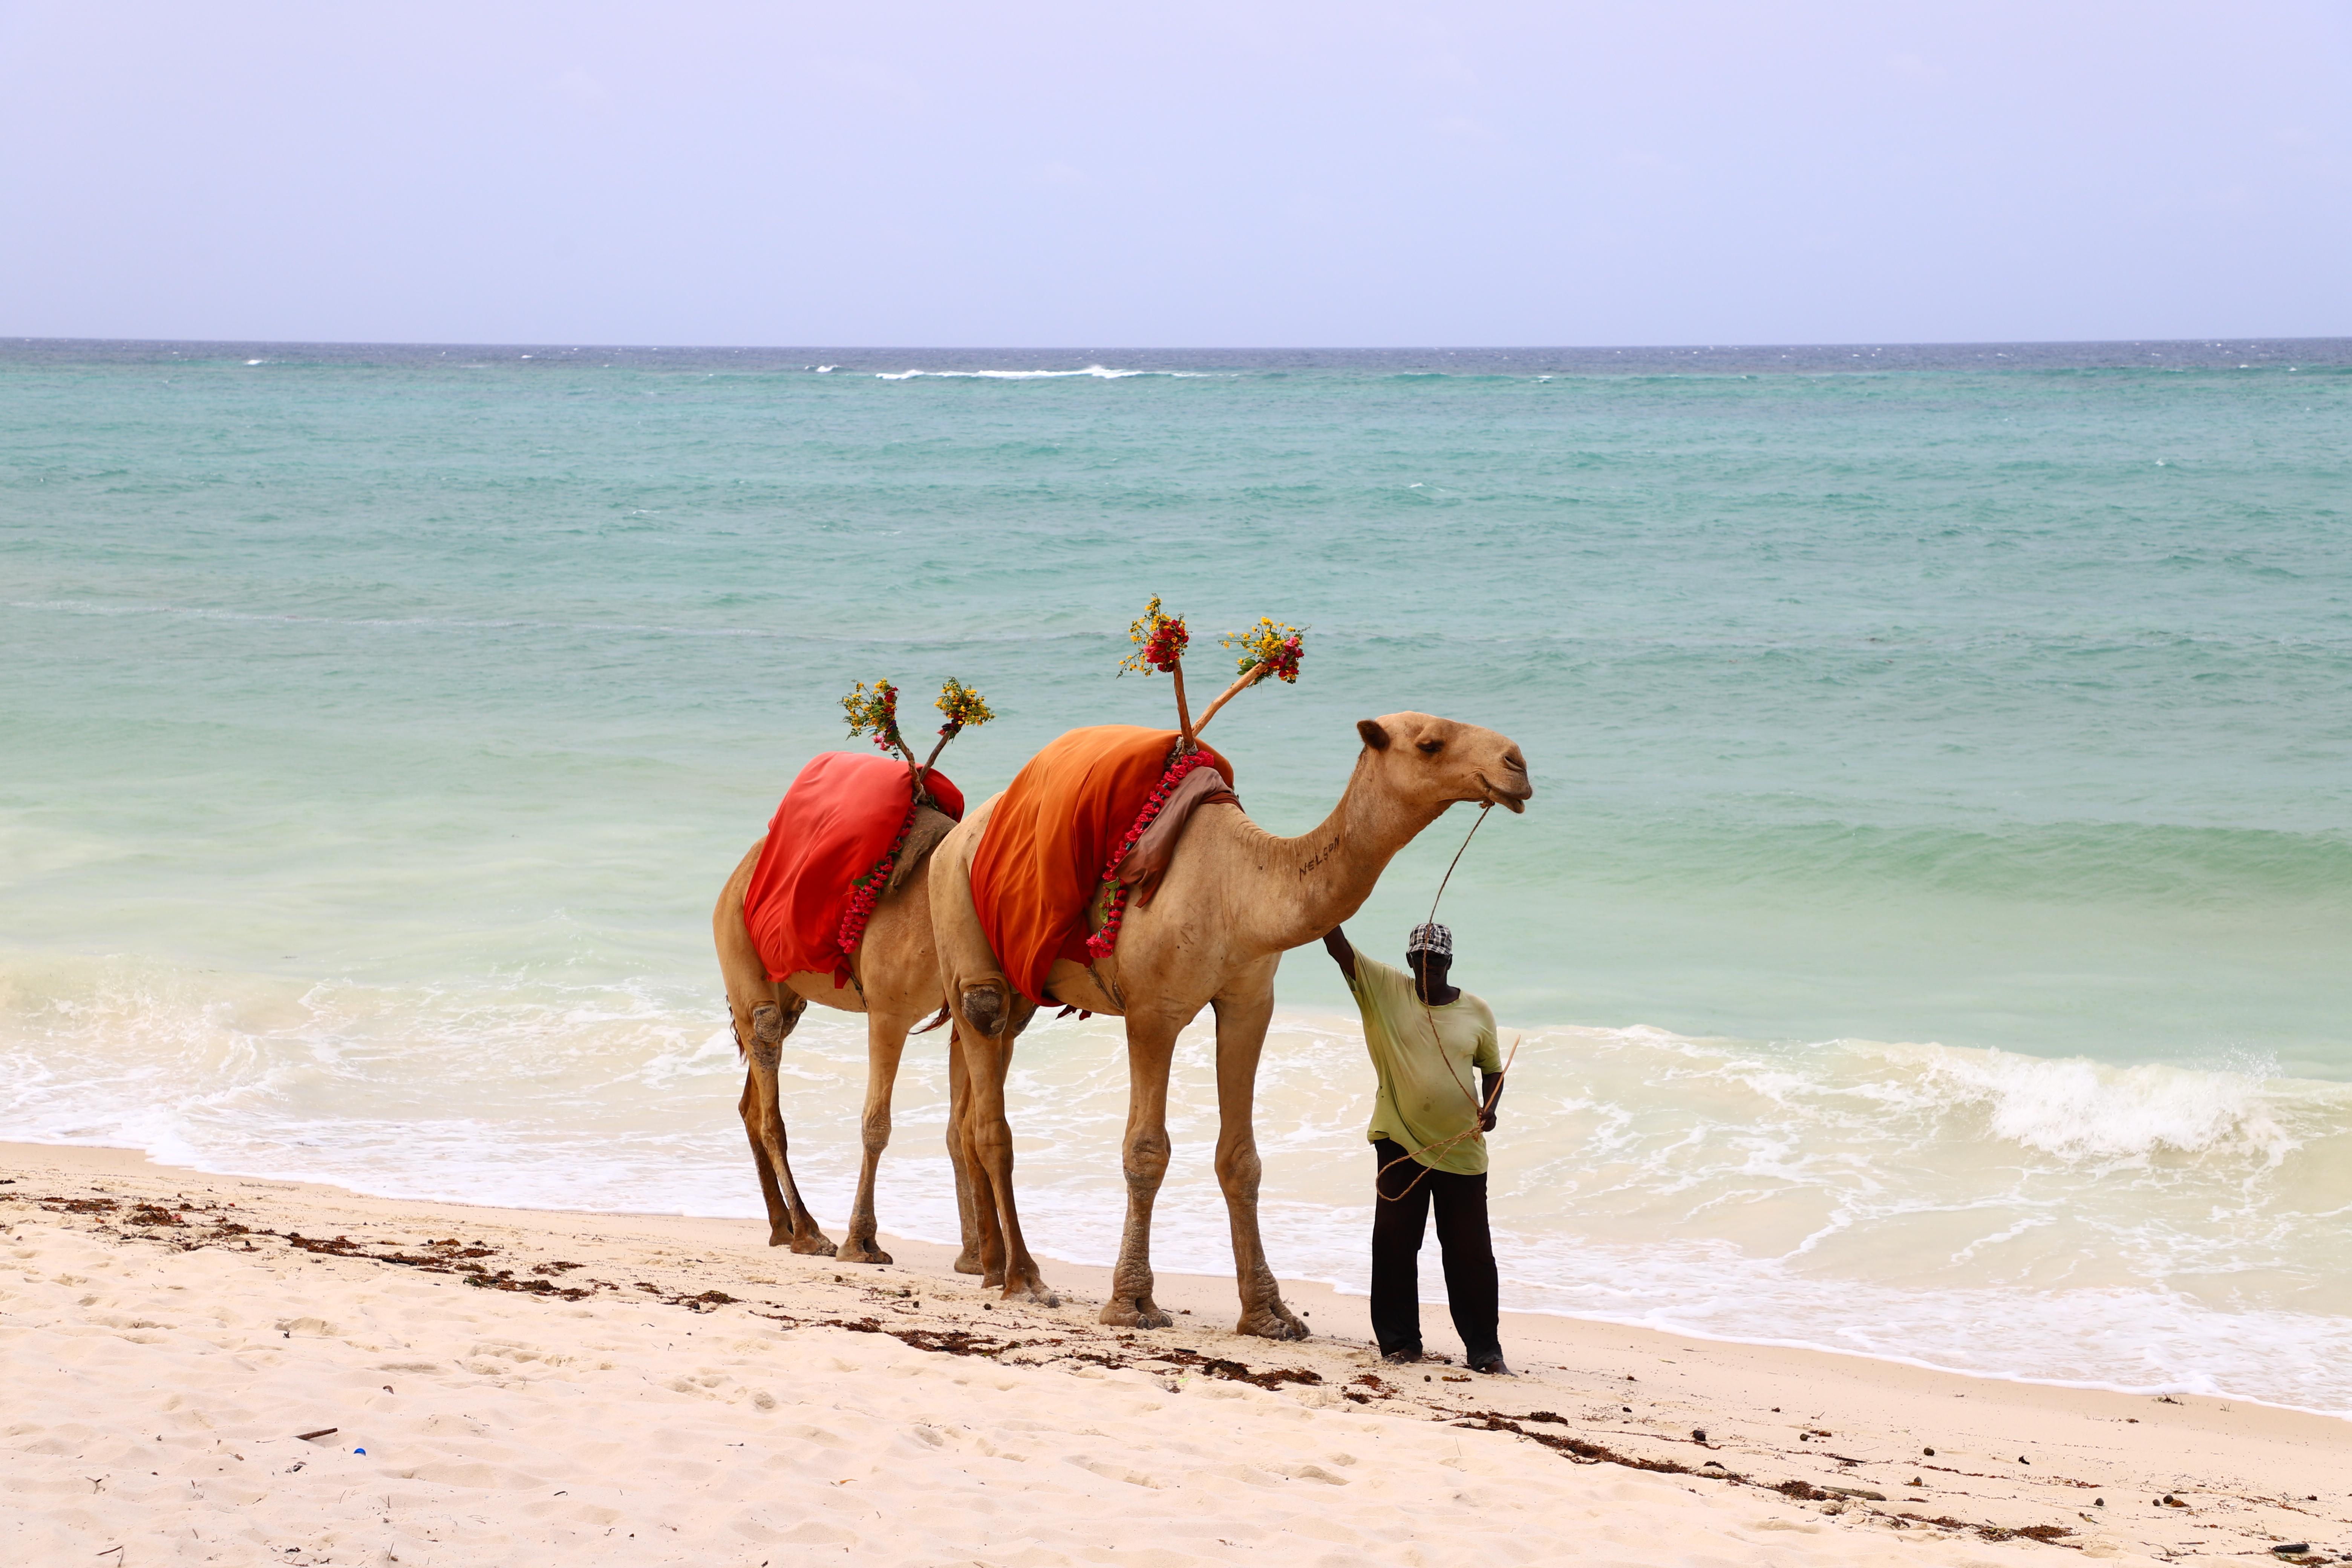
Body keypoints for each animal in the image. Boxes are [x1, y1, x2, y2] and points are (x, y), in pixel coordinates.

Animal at [710, 804, 978, 1269]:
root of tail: (737, 874)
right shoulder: (889, 1013)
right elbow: (876, 1125)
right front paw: (862, 1243)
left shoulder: (963, 1013)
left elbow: (957, 1131)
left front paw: (976, 1257)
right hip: (737, 946)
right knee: (766, 1058)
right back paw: (808, 1233)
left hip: (789, 991)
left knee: (752, 1099)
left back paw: (782, 1227)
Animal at [926, 710, 1533, 1335]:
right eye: (1431, 744)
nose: (1516, 765)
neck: (1238, 888)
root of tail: (958, 835)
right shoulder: (1154, 1011)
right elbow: (1146, 1151)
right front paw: (1132, 1303)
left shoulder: (1249, 1002)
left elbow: (1242, 1160)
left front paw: (1268, 1313)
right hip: (957, 913)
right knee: (987, 1072)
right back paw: (1025, 1279)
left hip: (1023, 995)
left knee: (984, 1083)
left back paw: (992, 1268)